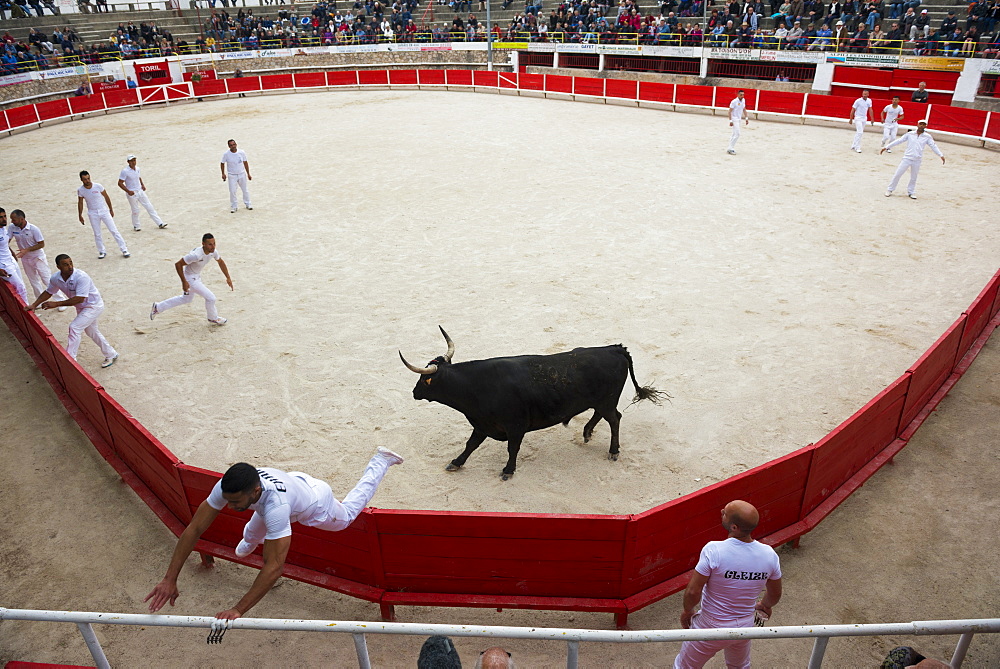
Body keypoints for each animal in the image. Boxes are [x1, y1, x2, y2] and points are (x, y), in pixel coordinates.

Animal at [394, 326, 668, 478]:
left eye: (423, 379)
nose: (414, 392)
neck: (476, 386)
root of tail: (614, 348)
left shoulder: (515, 426)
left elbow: (512, 448)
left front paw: (508, 470)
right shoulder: (482, 424)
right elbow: (471, 444)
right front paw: (456, 462)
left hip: (607, 400)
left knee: (614, 419)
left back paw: (613, 451)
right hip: (600, 401)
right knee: (602, 416)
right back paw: (587, 433)